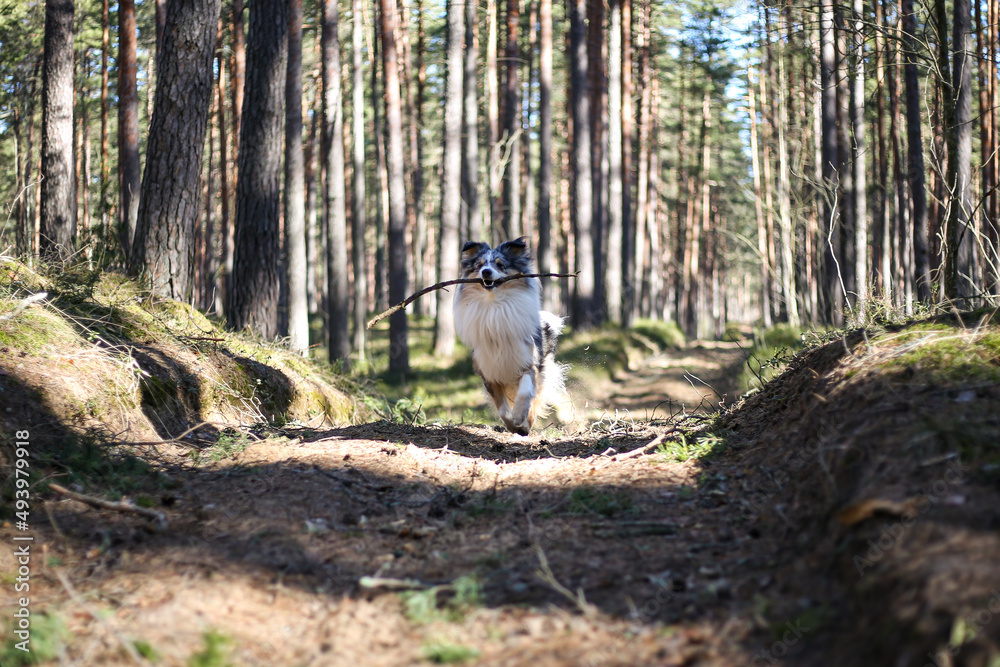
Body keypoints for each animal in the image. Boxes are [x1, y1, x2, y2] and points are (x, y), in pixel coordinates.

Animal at [452, 237, 568, 436]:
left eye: (500, 265)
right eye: (479, 265)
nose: (486, 271)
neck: (495, 306)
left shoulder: (528, 364)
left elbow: (525, 392)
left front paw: (520, 418)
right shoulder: (489, 373)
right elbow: (502, 409)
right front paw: (513, 425)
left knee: (535, 400)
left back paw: (526, 424)